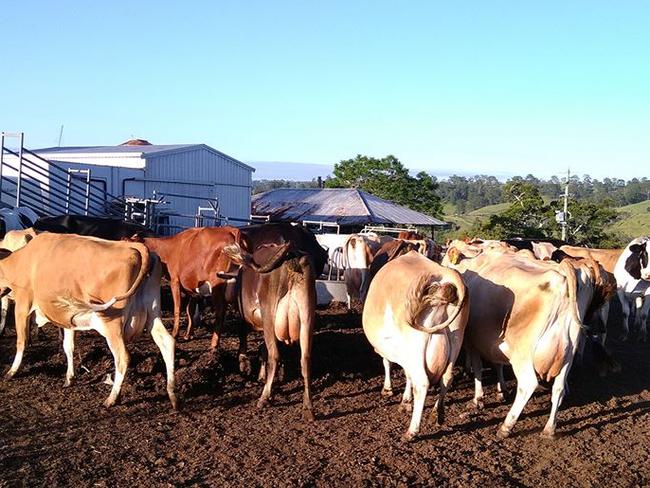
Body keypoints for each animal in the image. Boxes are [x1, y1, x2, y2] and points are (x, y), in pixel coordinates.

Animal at [0, 233, 176, 408]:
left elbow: (21, 341)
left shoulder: (22, 306)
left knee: (122, 357)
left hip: (112, 324)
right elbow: (68, 347)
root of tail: (137, 247)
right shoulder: (68, 318)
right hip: (152, 314)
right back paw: (173, 395)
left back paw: (112, 398)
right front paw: (69, 378)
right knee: (167, 342)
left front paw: (11, 372)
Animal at [221, 224, 326, 420]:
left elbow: (245, 336)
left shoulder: (247, 316)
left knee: (275, 355)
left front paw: (245, 365)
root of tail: (291, 254)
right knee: (305, 359)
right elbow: (263, 349)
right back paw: (308, 407)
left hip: (270, 316)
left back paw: (264, 397)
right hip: (307, 316)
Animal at [360, 252, 470, 442]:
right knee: (447, 378)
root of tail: (445, 273)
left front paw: (388, 390)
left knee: (422, 383)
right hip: (456, 338)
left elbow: (388, 364)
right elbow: (407, 375)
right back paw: (437, 413)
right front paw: (405, 400)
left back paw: (412, 431)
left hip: (415, 344)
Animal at [442, 242, 588, 436]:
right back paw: (549, 429)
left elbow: (478, 368)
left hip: (523, 354)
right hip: (568, 353)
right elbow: (497, 364)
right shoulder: (492, 341)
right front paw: (501, 390)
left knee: (527, 384)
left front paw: (478, 399)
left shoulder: (473, 339)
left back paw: (506, 426)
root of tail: (562, 274)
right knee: (559, 388)